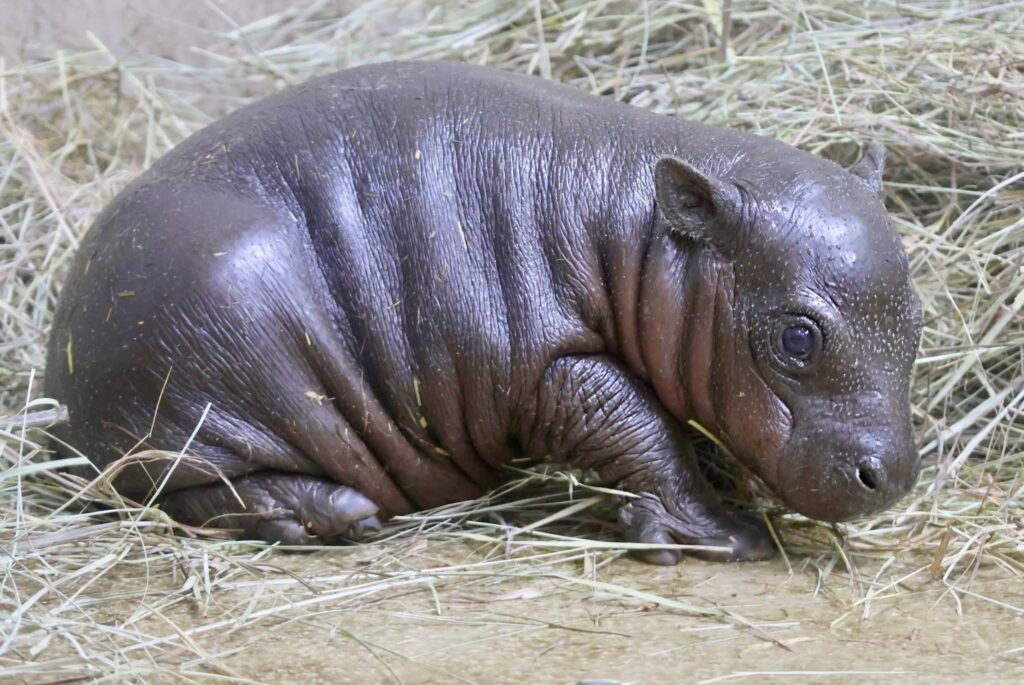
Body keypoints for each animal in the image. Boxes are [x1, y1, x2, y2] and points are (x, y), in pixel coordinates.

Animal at [45, 61, 922, 563]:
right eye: (798, 334)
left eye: (916, 318)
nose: (896, 475)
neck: (635, 228)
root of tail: (58, 354)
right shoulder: (546, 367)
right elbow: (638, 425)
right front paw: (730, 535)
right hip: (216, 357)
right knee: (194, 494)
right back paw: (339, 516)